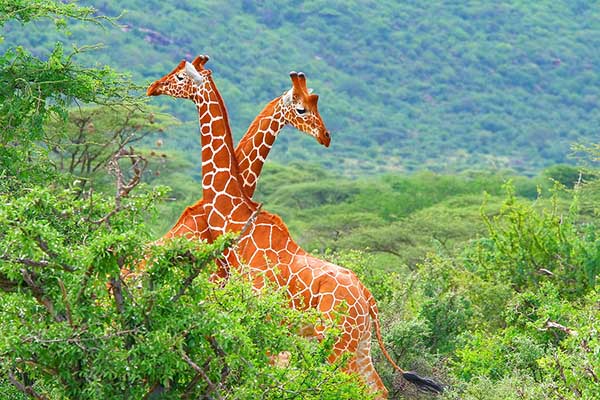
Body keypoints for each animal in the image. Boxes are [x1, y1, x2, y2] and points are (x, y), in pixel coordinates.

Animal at [147, 57, 442, 396]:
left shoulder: (257, 318)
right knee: (376, 390)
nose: (153, 86)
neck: (236, 222)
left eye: (180, 76)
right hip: (359, 342)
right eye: (303, 107)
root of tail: (369, 300)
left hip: (338, 340)